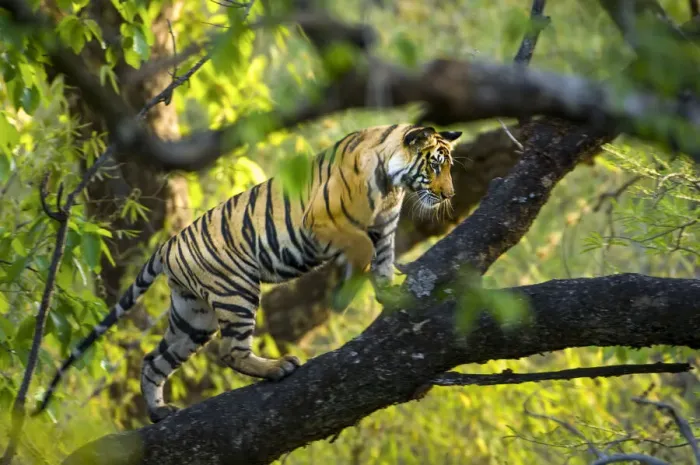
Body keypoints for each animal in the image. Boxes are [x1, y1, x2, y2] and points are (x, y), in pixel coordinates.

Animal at [34, 124, 461, 423]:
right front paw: (348, 292)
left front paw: (390, 293)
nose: (450, 195)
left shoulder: (385, 228)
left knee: (154, 360)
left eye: (448, 167)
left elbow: (384, 261)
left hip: (193, 317)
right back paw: (277, 368)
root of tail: (168, 245)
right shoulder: (324, 220)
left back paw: (158, 412)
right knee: (231, 351)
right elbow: (364, 251)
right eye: (434, 165)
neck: (393, 185)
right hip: (236, 292)